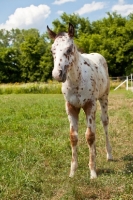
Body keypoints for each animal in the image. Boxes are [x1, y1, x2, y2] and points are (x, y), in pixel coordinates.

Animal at [46, 22, 112, 179]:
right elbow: (73, 137)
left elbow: (90, 136)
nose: (57, 74)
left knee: (104, 122)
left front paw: (93, 172)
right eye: (52, 50)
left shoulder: (90, 105)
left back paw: (109, 154)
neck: (77, 81)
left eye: (69, 49)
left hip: (104, 98)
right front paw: (72, 171)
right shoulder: (71, 107)